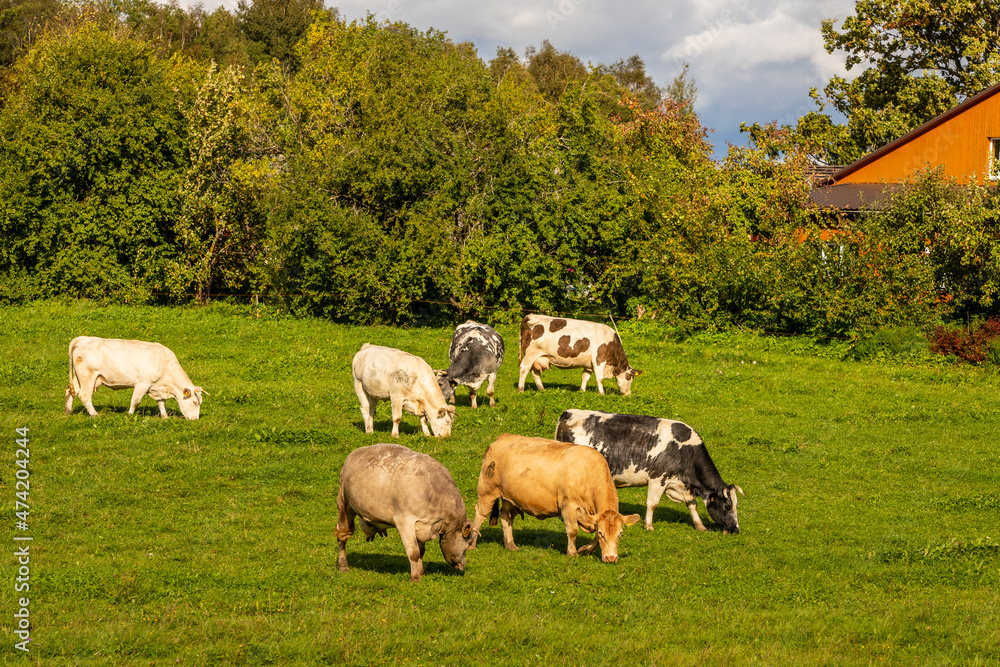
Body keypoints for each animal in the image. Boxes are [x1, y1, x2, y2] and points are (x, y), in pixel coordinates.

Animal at [64, 336, 206, 420]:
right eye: (194, 402)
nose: (195, 420)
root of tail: (82, 339)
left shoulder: (157, 386)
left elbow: (161, 402)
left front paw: (165, 417)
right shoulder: (143, 383)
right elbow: (136, 401)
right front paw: (130, 415)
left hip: (78, 377)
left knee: (70, 391)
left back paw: (68, 412)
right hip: (87, 376)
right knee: (84, 396)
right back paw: (95, 415)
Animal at [336, 444, 474, 582]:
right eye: (469, 543)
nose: (463, 565)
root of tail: (355, 452)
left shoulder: (422, 526)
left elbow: (421, 551)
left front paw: (421, 572)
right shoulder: (405, 521)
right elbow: (414, 552)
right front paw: (415, 577)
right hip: (344, 504)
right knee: (342, 536)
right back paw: (343, 565)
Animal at [470, 433, 640, 563]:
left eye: (620, 534)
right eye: (601, 533)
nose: (611, 558)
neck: (588, 473)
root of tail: (503, 437)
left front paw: (585, 549)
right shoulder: (568, 506)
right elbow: (572, 531)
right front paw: (572, 553)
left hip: (509, 498)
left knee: (506, 517)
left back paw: (510, 545)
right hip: (487, 490)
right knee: (480, 515)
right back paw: (472, 544)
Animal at [555, 409, 744, 534]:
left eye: (736, 505)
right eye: (727, 505)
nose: (736, 529)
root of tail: (568, 413)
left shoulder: (683, 486)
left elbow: (692, 504)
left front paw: (700, 526)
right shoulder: (657, 478)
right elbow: (652, 503)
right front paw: (648, 525)